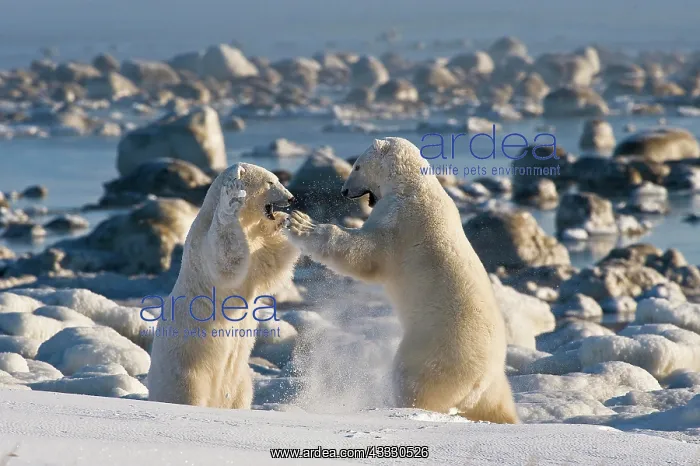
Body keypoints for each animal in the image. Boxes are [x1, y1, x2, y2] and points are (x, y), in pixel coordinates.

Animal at [147, 162, 300, 408]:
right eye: (270, 182)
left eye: (278, 179)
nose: (291, 198)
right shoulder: (202, 247)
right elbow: (225, 257)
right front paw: (232, 201)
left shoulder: (256, 252)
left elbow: (270, 264)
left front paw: (288, 220)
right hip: (187, 370)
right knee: (187, 394)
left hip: (240, 379)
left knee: (242, 392)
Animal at [285, 137, 519, 423]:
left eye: (356, 166)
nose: (344, 191)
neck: (413, 186)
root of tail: (480, 380)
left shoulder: (400, 219)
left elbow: (364, 253)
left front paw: (301, 223)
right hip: (494, 383)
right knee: (497, 404)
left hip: (435, 352)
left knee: (414, 382)